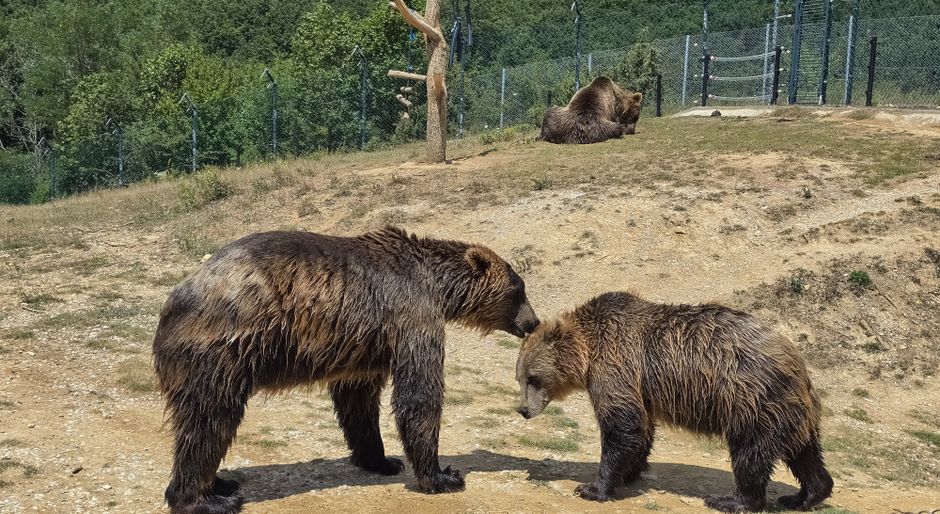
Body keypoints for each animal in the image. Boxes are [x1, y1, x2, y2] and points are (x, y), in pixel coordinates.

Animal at [152, 226, 540, 514]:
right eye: (519, 288)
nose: (533, 322)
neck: (437, 286)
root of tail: (175, 298)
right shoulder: (411, 313)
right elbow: (419, 393)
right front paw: (442, 475)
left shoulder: (366, 345)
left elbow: (358, 400)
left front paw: (382, 460)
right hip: (225, 346)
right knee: (210, 419)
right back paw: (208, 499)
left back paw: (221, 481)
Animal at [515, 291, 833, 513]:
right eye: (519, 378)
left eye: (533, 378)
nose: (523, 410)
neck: (587, 353)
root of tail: (797, 362)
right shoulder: (641, 389)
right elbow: (641, 429)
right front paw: (629, 473)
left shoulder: (617, 365)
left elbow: (622, 426)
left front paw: (593, 487)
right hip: (791, 410)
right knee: (804, 452)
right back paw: (804, 495)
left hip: (751, 398)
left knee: (750, 453)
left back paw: (731, 500)